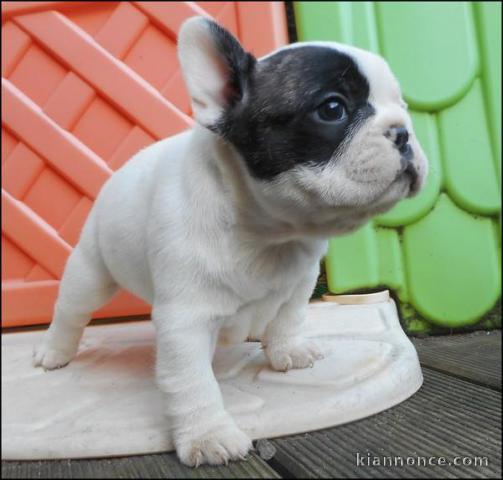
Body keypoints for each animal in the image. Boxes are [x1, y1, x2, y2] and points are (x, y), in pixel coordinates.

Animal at [33, 17, 430, 464]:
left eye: (404, 106)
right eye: (332, 109)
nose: (403, 132)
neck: (269, 233)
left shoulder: (300, 282)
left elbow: (289, 317)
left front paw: (287, 350)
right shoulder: (185, 321)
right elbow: (191, 382)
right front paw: (208, 437)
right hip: (92, 271)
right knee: (72, 310)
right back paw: (55, 352)